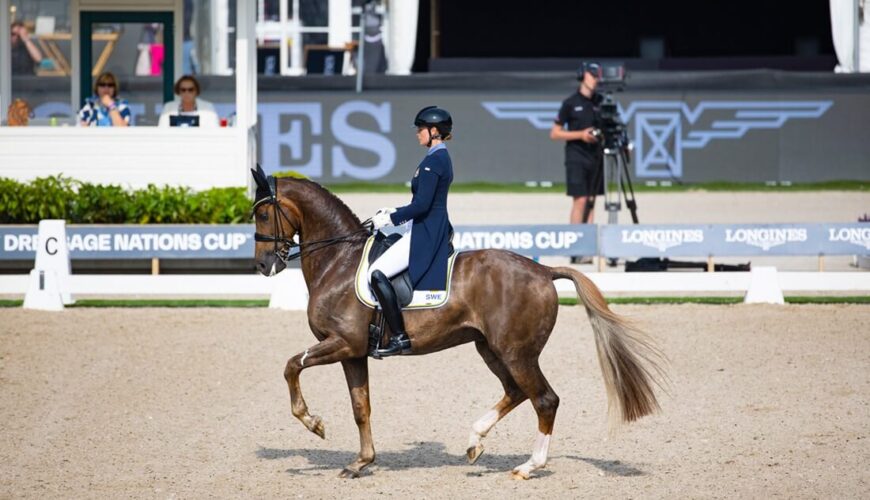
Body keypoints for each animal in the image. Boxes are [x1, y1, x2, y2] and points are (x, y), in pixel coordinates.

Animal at [252, 169, 668, 480]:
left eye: (261, 214)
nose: (262, 265)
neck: (338, 261)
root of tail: (543, 270)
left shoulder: (342, 343)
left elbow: (291, 366)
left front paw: (314, 423)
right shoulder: (354, 352)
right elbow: (361, 407)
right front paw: (361, 462)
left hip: (516, 352)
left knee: (544, 399)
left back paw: (529, 466)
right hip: (490, 348)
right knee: (516, 392)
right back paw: (475, 440)